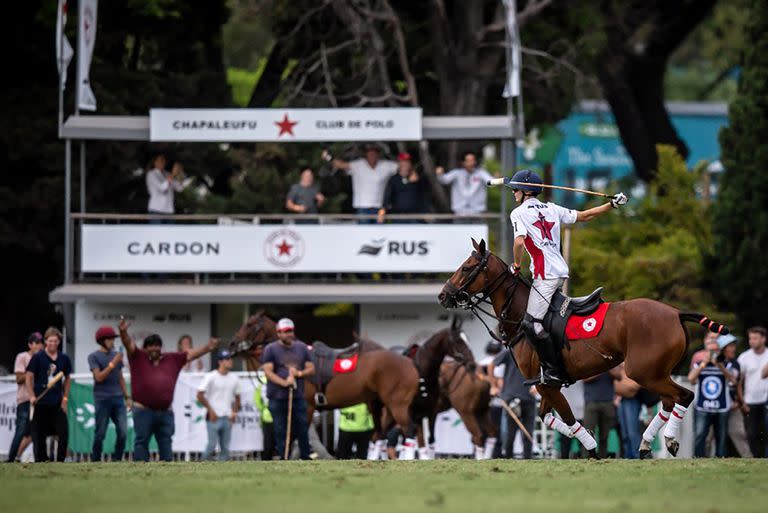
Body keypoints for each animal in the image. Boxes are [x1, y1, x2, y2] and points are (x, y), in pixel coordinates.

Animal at [438, 238, 728, 458]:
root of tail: (676, 313)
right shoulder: (547, 384)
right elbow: (548, 417)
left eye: (467, 267)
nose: (443, 295)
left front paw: (591, 446)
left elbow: (566, 416)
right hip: (655, 372)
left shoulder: (544, 383)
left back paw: (668, 439)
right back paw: (647, 443)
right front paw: (587, 436)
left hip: (642, 372)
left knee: (684, 396)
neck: (521, 316)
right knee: (669, 401)